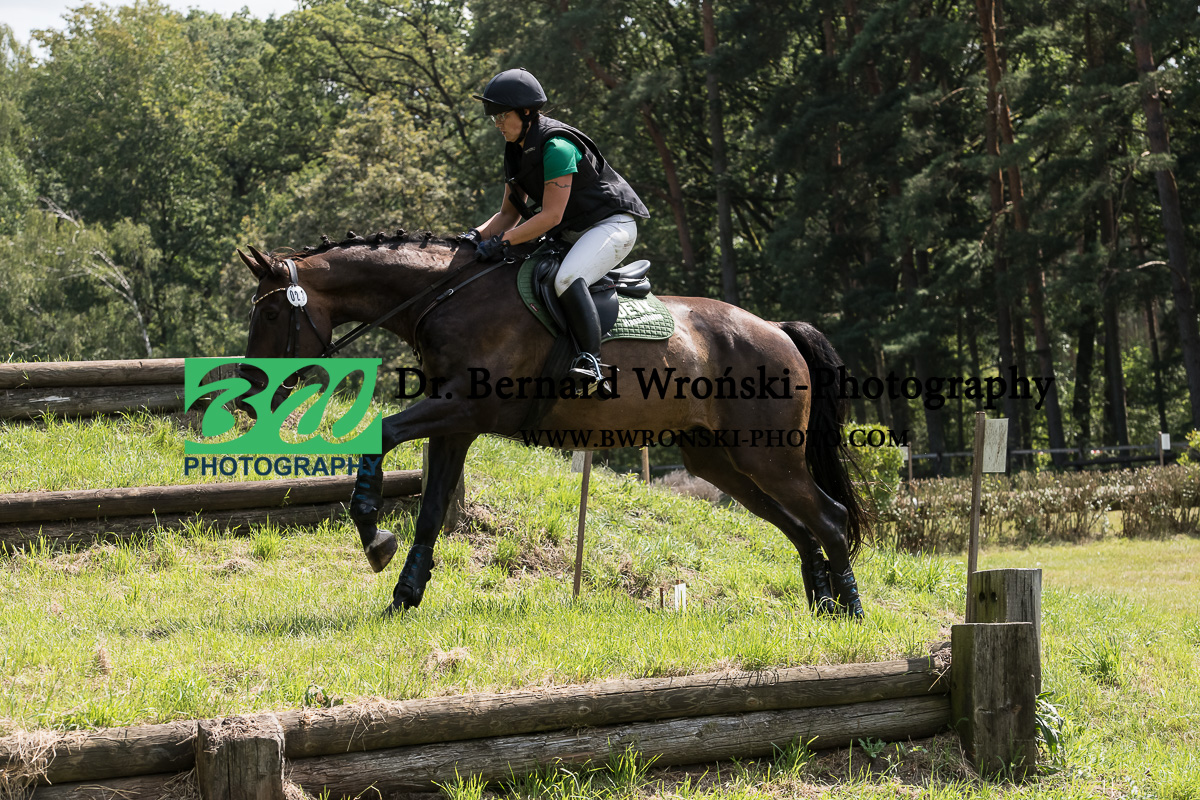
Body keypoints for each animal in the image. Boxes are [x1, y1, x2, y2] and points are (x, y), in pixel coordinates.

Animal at [237, 230, 869, 617]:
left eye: (269, 314)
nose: (248, 395)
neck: (446, 296)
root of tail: (777, 330)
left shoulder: (462, 408)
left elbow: (384, 437)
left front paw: (374, 538)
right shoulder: (454, 425)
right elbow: (432, 511)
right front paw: (403, 595)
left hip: (768, 454)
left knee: (829, 517)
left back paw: (851, 611)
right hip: (720, 460)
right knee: (799, 525)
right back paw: (821, 605)